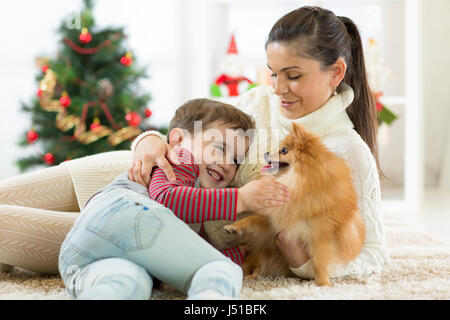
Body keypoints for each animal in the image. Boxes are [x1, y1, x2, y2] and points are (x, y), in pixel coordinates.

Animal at [225, 122, 366, 284]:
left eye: (283, 150)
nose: (266, 153)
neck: (297, 183)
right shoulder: (274, 223)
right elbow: (252, 219)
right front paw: (233, 227)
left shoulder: (320, 235)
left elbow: (319, 263)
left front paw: (323, 283)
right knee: (256, 268)